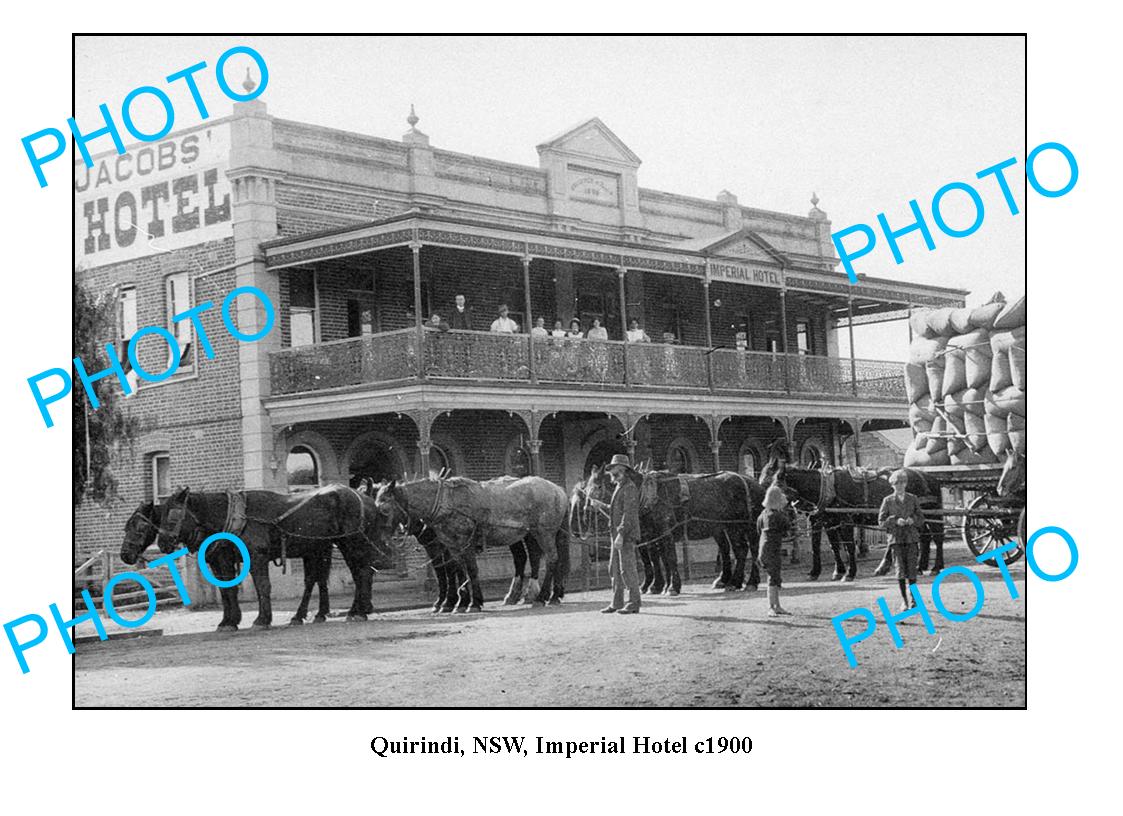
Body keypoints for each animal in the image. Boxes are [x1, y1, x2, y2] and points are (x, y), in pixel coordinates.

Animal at [153, 484, 390, 633]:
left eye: (173, 514)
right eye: (160, 513)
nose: (163, 543)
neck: (235, 517)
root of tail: (367, 498)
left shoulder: (256, 556)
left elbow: (262, 586)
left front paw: (262, 619)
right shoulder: (222, 560)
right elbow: (227, 590)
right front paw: (229, 621)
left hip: (351, 542)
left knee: (361, 572)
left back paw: (358, 610)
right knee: (339, 576)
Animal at [375, 475, 570, 610]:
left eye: (384, 509)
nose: (382, 542)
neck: (446, 502)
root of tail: (558, 489)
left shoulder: (464, 542)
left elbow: (470, 570)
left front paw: (471, 602)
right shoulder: (451, 546)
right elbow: (459, 570)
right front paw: (460, 602)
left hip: (544, 533)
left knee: (551, 559)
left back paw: (541, 596)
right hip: (534, 534)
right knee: (540, 558)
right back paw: (550, 595)